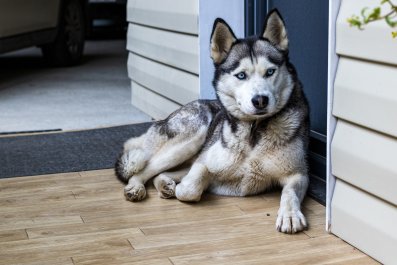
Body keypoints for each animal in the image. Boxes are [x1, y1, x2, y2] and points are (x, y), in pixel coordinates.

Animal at [114, 9, 310, 233]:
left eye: (270, 72)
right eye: (241, 75)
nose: (260, 100)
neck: (253, 132)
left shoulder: (298, 174)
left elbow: (290, 194)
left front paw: (290, 215)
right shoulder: (204, 162)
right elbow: (189, 188)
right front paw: (192, 186)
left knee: (161, 173)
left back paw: (164, 185)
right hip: (192, 138)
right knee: (145, 169)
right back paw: (137, 186)